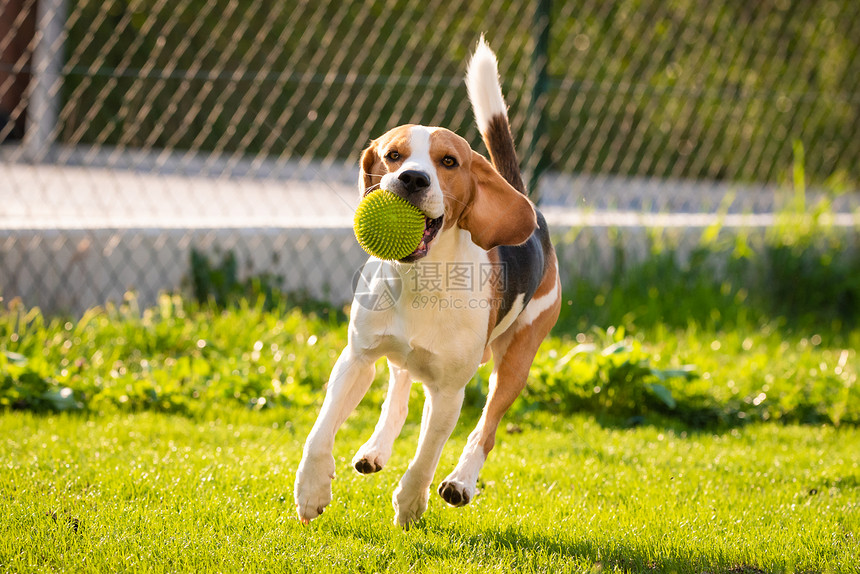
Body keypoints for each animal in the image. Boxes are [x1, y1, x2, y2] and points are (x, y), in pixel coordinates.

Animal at [296, 38, 560, 528]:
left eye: (449, 162)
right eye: (393, 155)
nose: (413, 179)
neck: (419, 279)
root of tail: (530, 204)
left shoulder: (450, 392)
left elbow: (426, 455)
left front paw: (410, 503)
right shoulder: (355, 359)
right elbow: (321, 431)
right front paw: (311, 488)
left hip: (517, 360)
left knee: (486, 428)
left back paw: (461, 481)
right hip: (397, 354)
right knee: (399, 389)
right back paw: (376, 450)